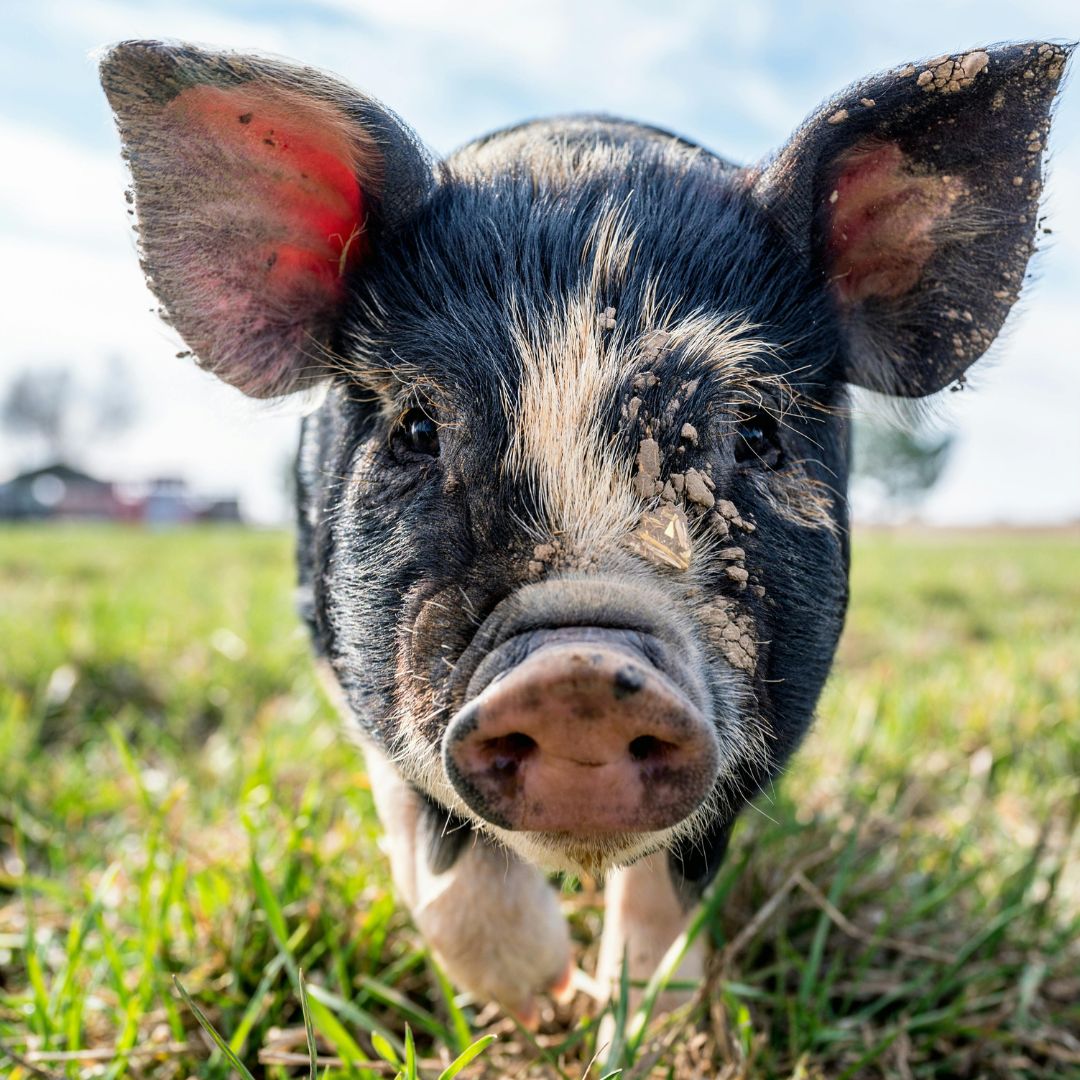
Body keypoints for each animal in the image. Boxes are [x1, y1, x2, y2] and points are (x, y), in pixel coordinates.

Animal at [100, 39, 1070, 1024]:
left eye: (756, 430)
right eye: (417, 425)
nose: (579, 676)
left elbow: (670, 896)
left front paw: (632, 1016)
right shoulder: (350, 664)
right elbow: (441, 867)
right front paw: (548, 1002)